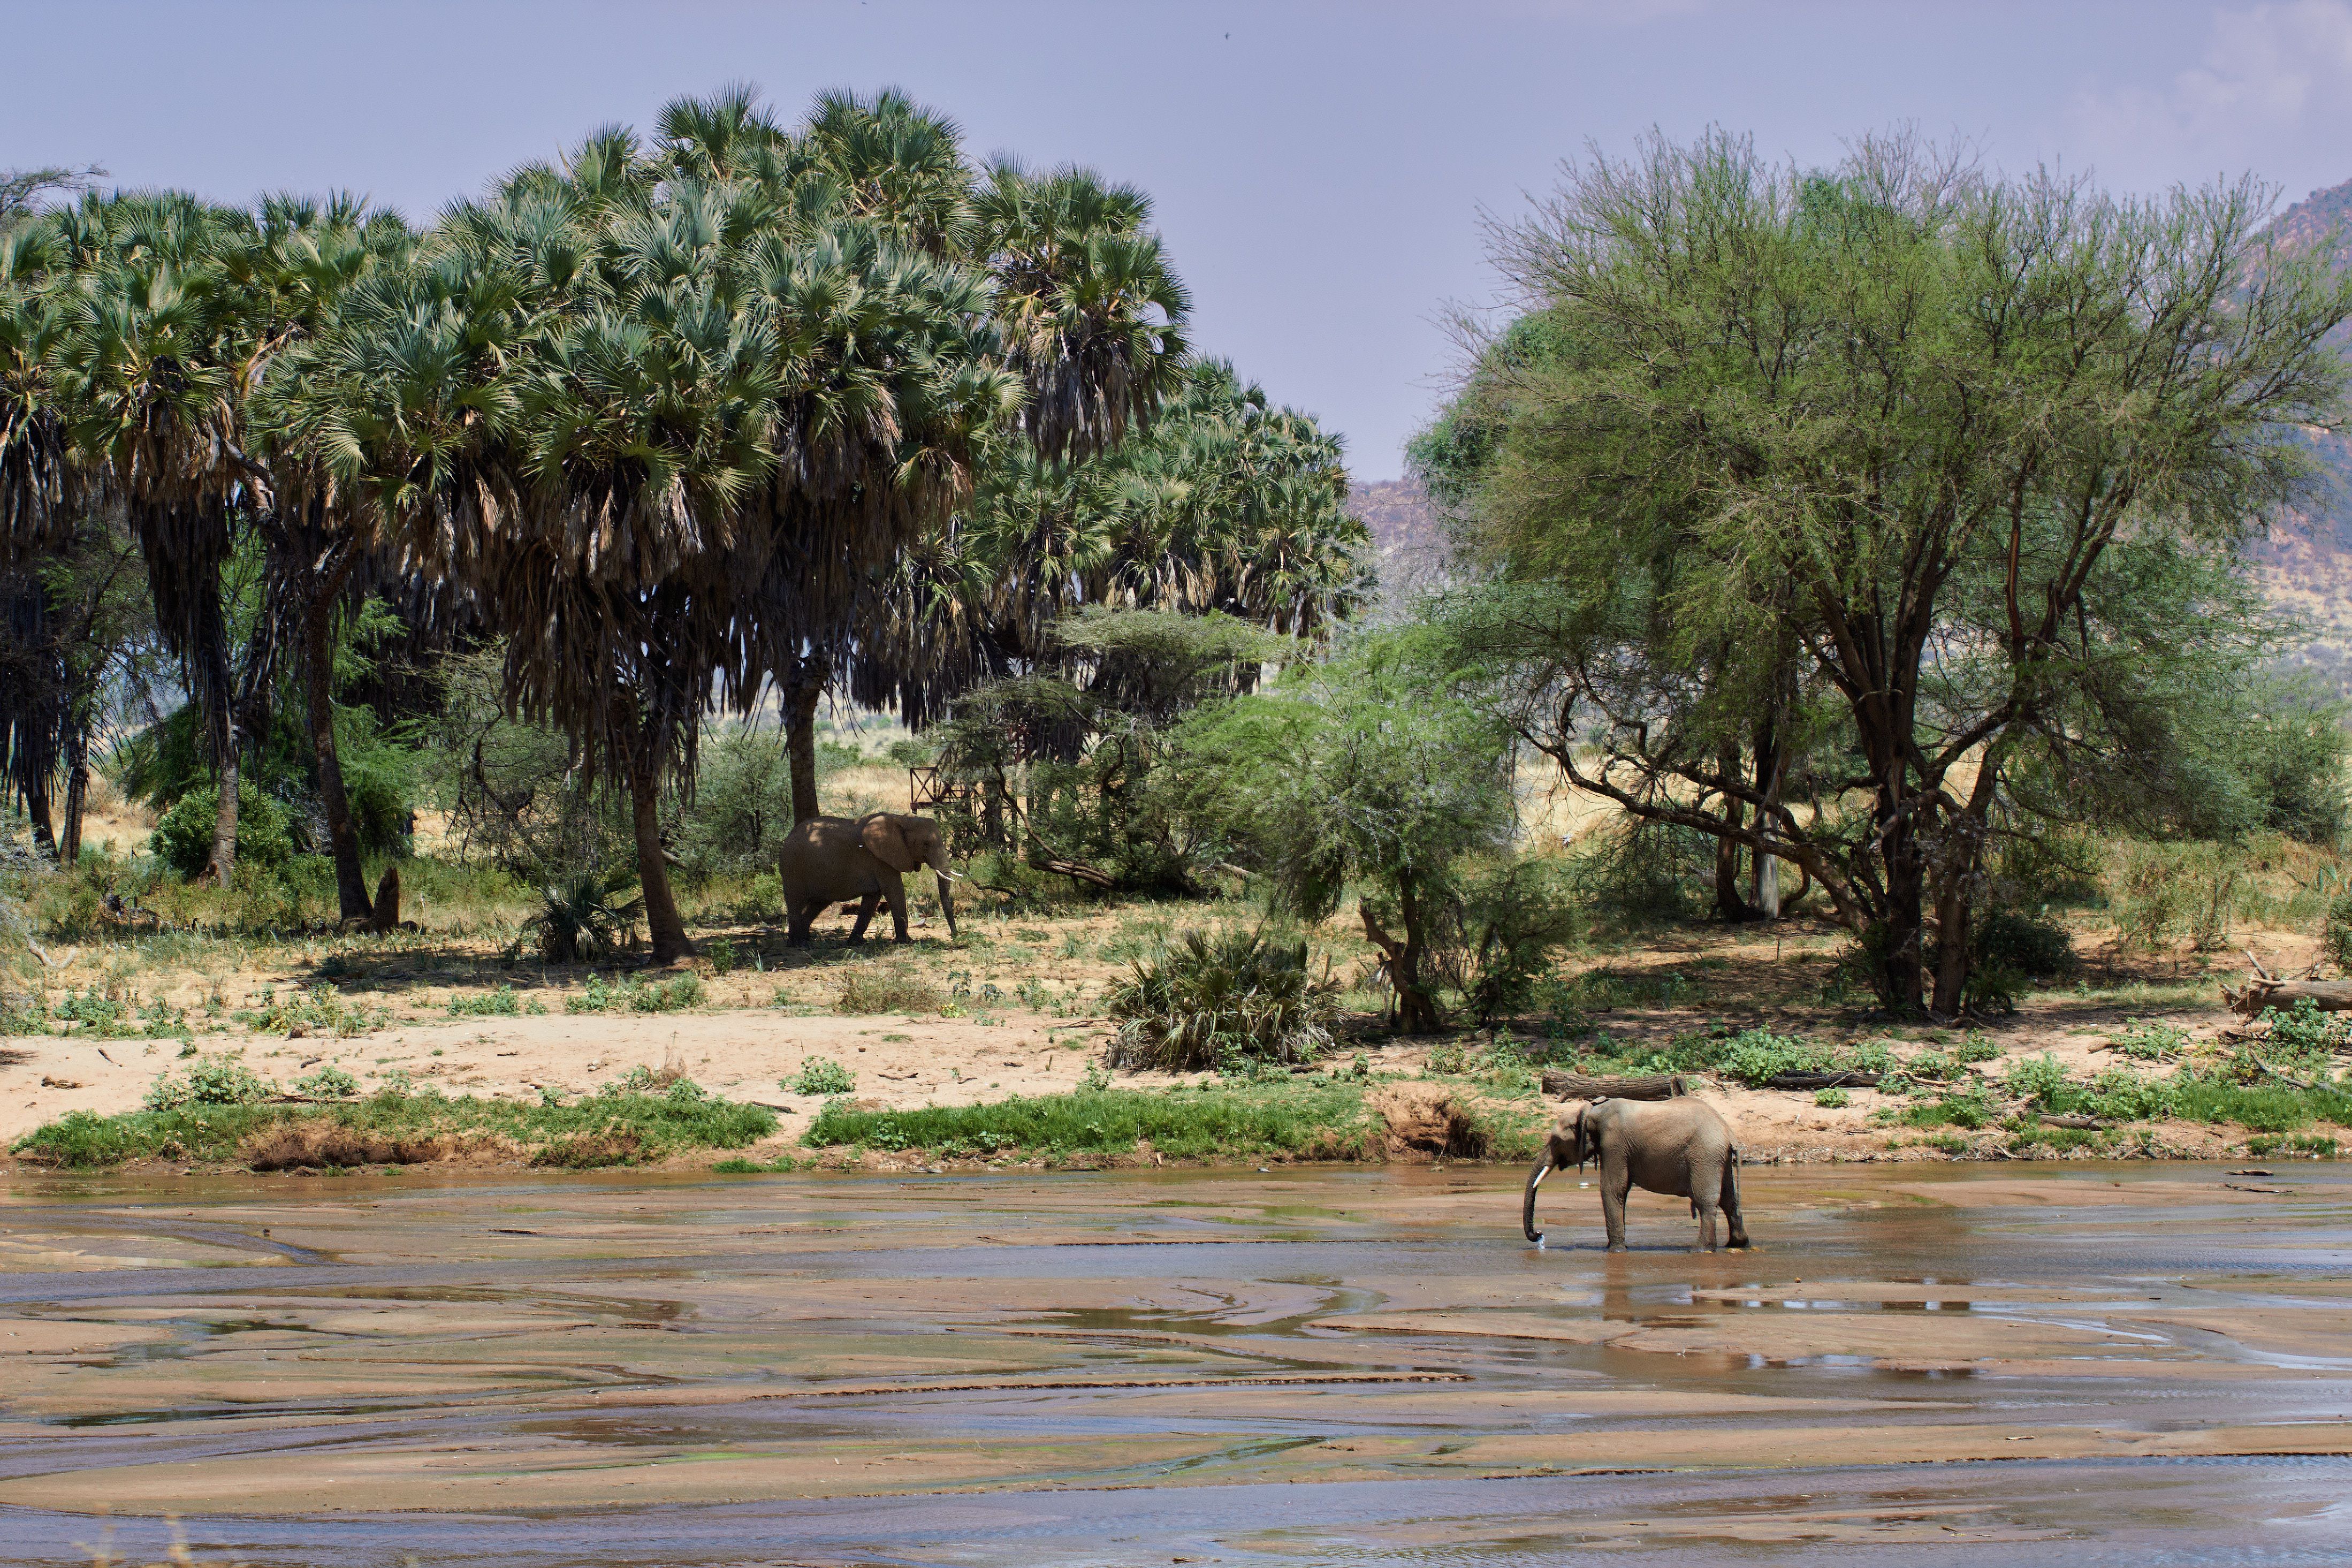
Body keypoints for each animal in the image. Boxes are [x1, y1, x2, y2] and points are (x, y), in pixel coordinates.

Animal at [778, 812, 961, 946]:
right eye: (926, 844)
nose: (955, 935)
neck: (902, 819)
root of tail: (787, 838)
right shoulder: (880, 859)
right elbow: (895, 891)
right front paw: (907, 942)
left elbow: (873, 899)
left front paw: (855, 943)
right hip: (793, 869)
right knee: (795, 903)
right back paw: (797, 944)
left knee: (817, 904)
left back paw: (806, 941)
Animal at [1522, 1096, 1749, 1252]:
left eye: (1556, 1141)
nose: (1540, 1234)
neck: (1593, 1111)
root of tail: (1729, 1133)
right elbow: (1619, 1192)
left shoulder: (1614, 1143)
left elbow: (1613, 1190)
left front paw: (1615, 1251)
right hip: (1719, 1158)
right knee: (1729, 1200)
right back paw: (1738, 1244)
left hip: (1705, 1155)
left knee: (1707, 1202)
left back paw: (1701, 1250)